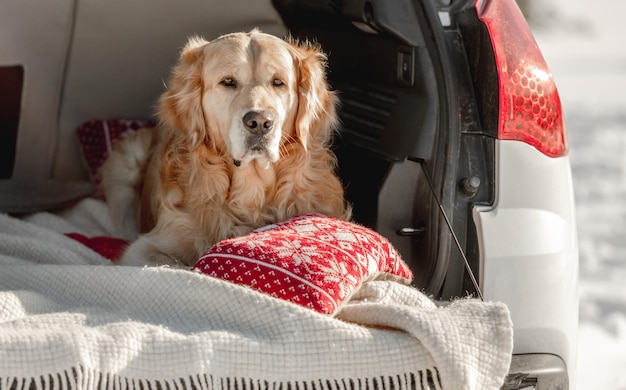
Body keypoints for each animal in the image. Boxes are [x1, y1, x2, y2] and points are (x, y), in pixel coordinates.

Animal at [100, 30, 348, 266]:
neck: (251, 192)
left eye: (278, 82)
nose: (260, 122)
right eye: (228, 82)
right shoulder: (144, 248)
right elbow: (176, 264)